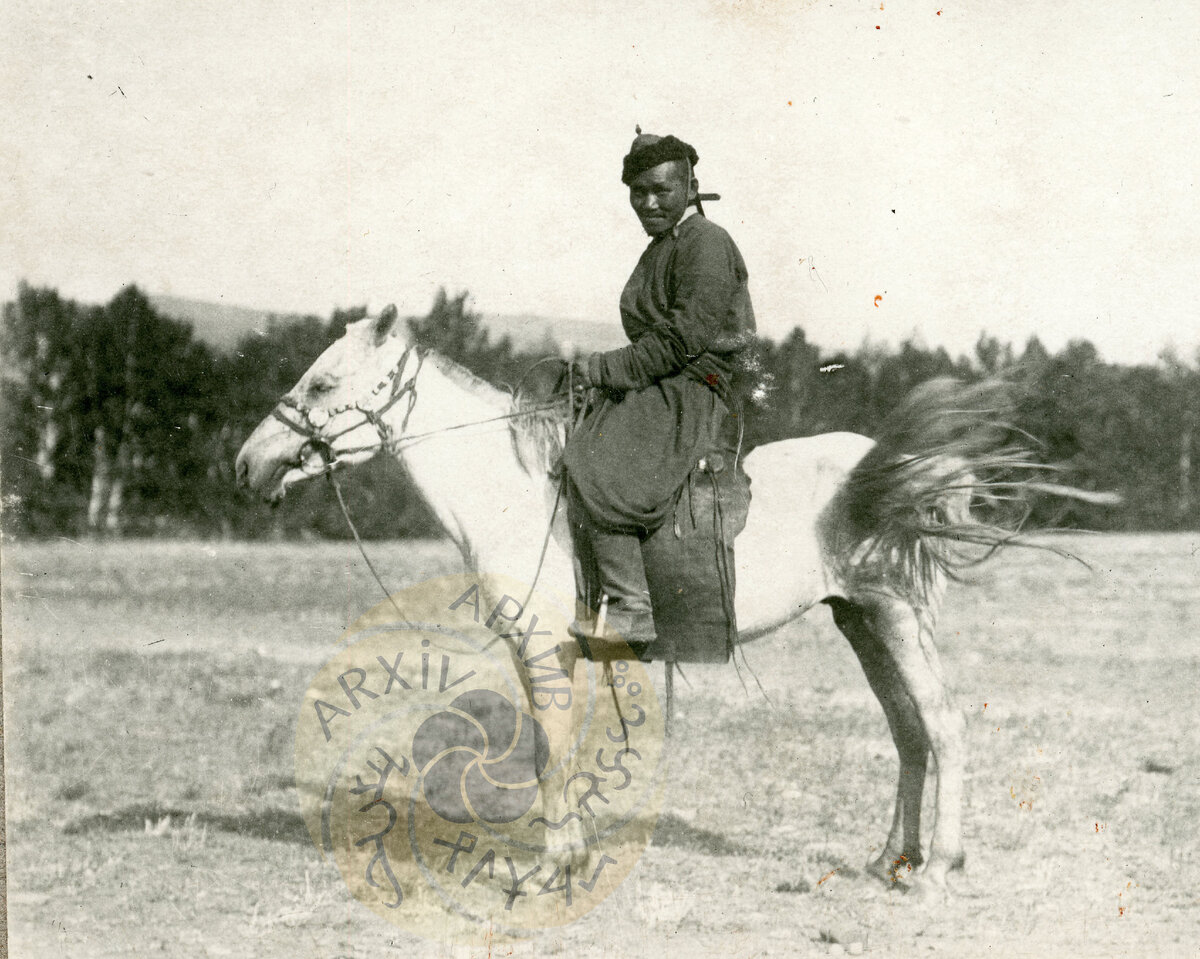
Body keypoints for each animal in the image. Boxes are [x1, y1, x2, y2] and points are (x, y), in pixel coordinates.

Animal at [234, 309, 1099, 902]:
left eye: (322, 383)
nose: (246, 465)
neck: (518, 491)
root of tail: (904, 467)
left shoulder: (543, 649)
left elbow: (550, 750)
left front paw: (553, 866)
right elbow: (552, 750)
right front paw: (566, 855)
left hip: (898, 616)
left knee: (943, 727)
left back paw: (938, 868)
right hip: (860, 619)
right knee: (909, 732)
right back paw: (891, 857)